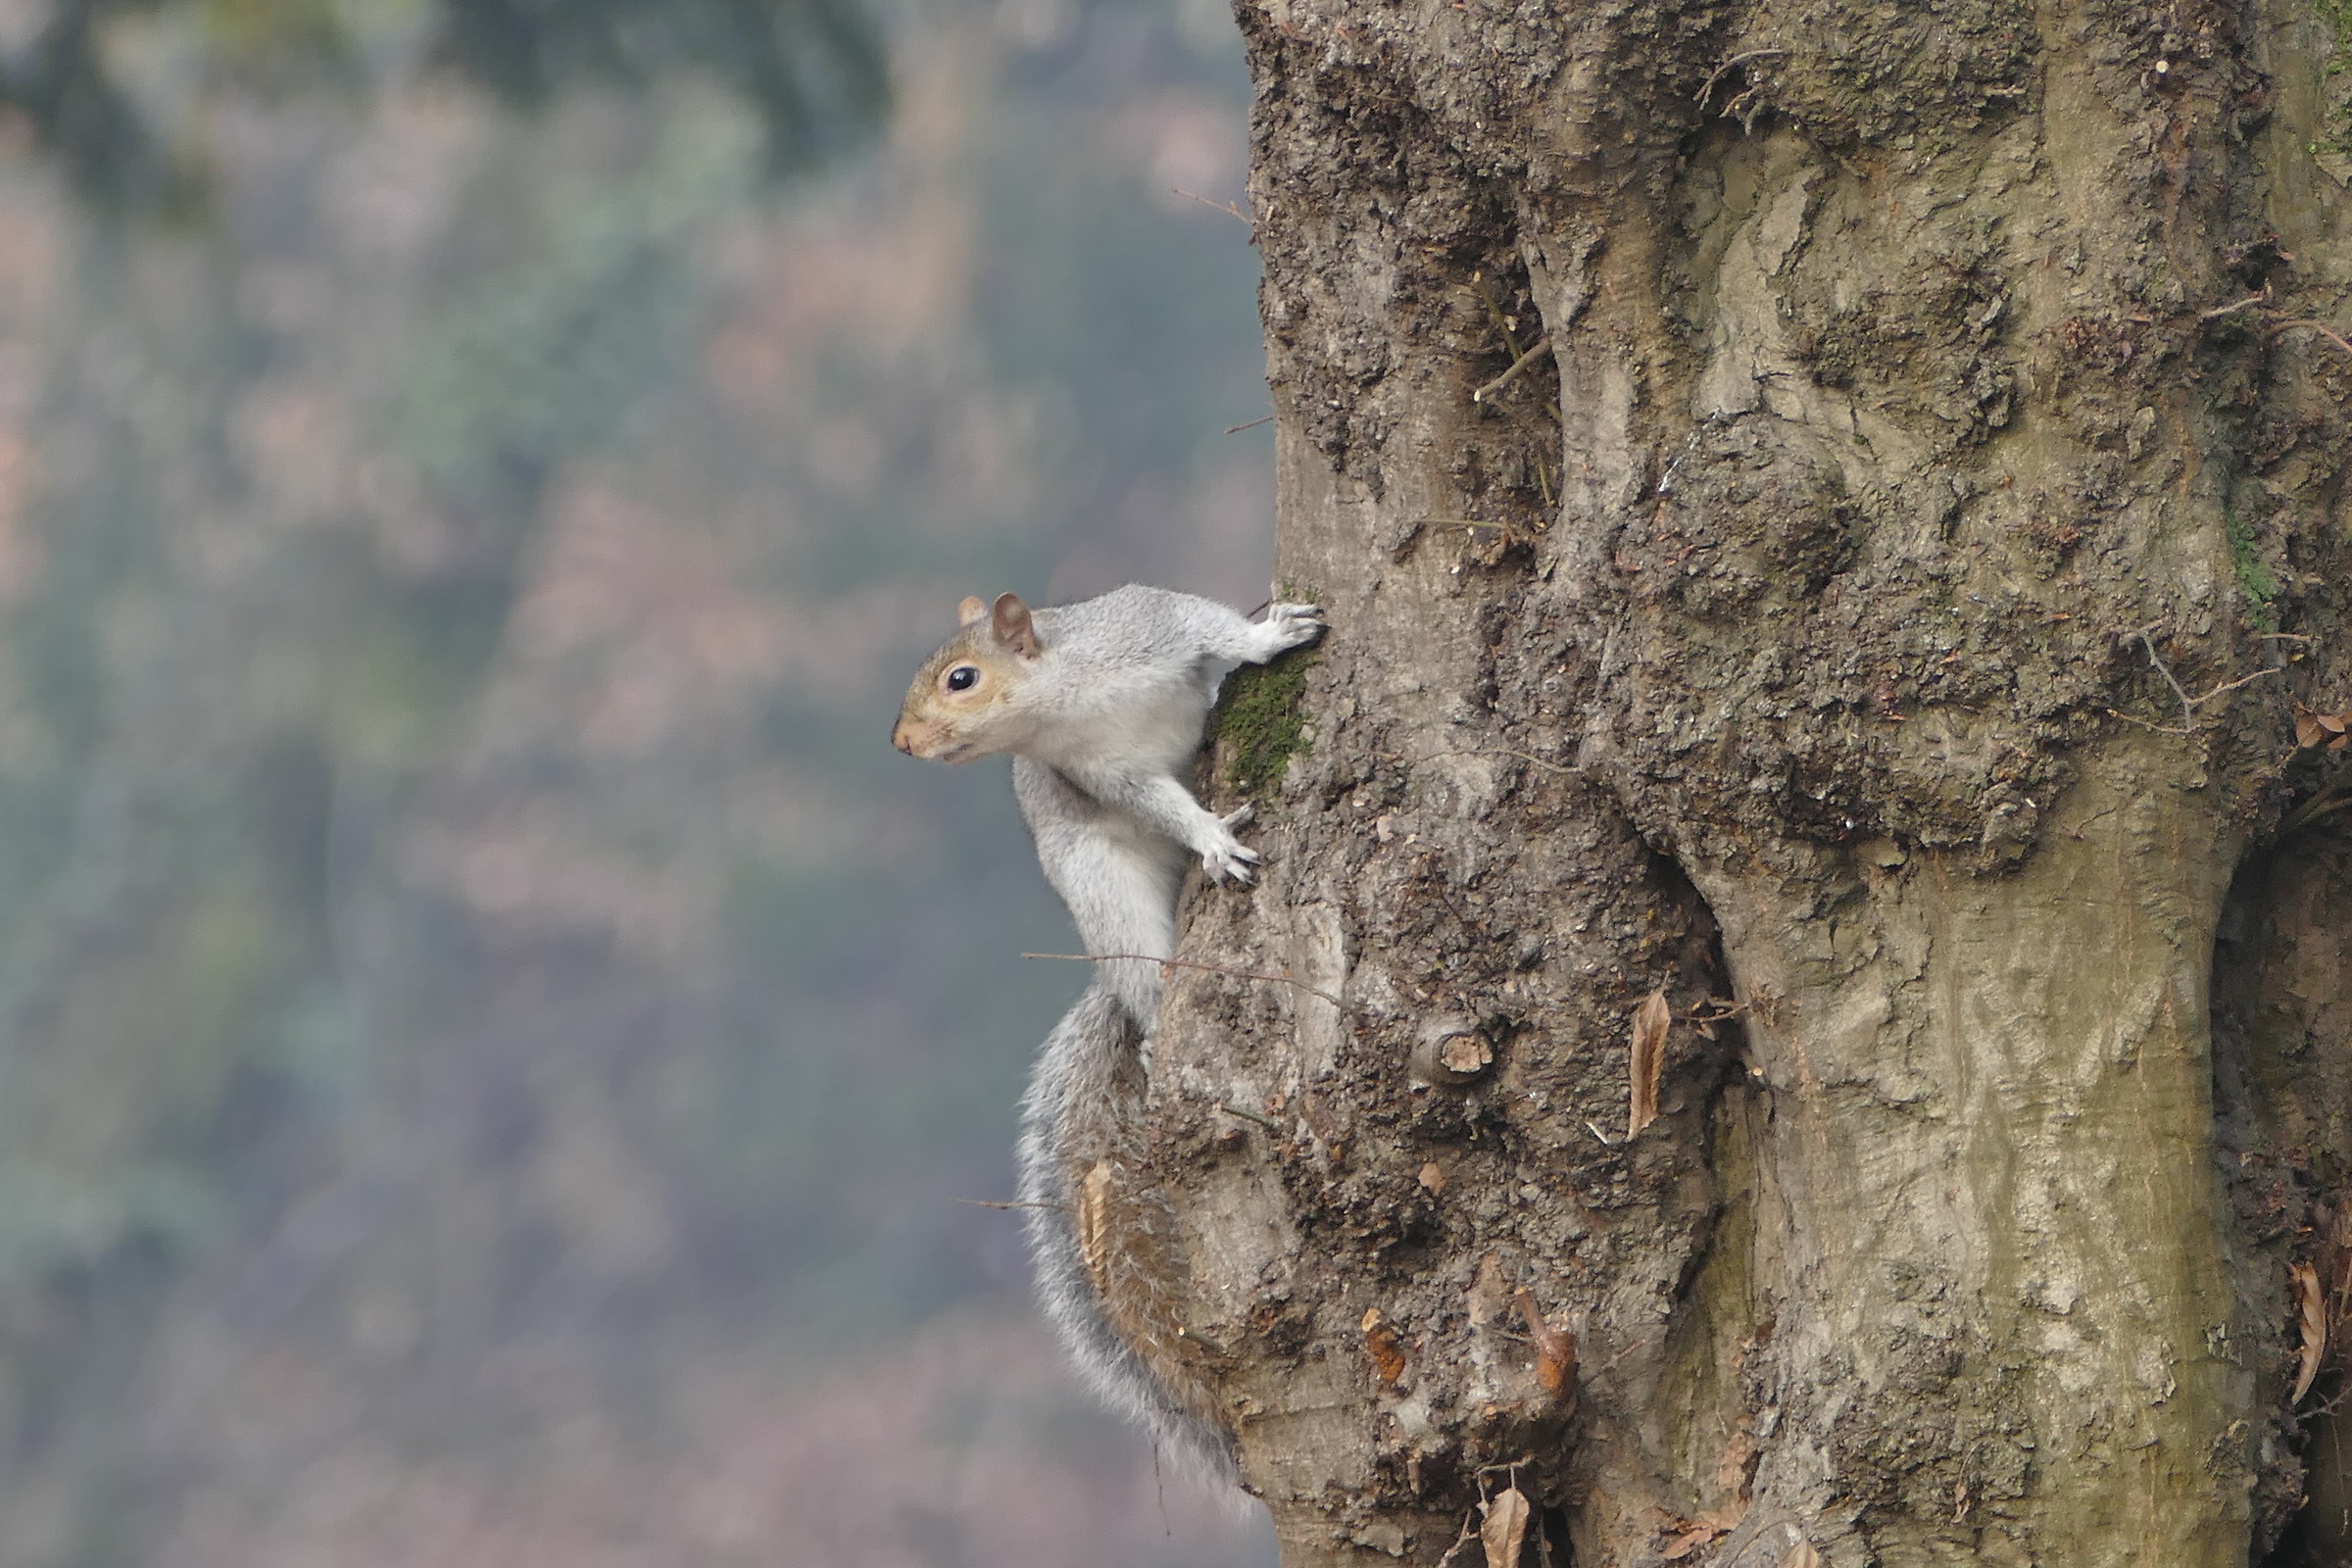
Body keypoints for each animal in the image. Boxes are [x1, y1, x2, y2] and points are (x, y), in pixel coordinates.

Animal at [892, 584, 1325, 1482]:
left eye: (960, 678)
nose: (902, 741)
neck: (1066, 701)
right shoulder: (1108, 776)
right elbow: (1160, 801)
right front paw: (1211, 837)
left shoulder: (1152, 623)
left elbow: (1214, 627)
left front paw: (1271, 636)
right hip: (1099, 881)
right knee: (1145, 974)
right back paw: (1157, 1028)